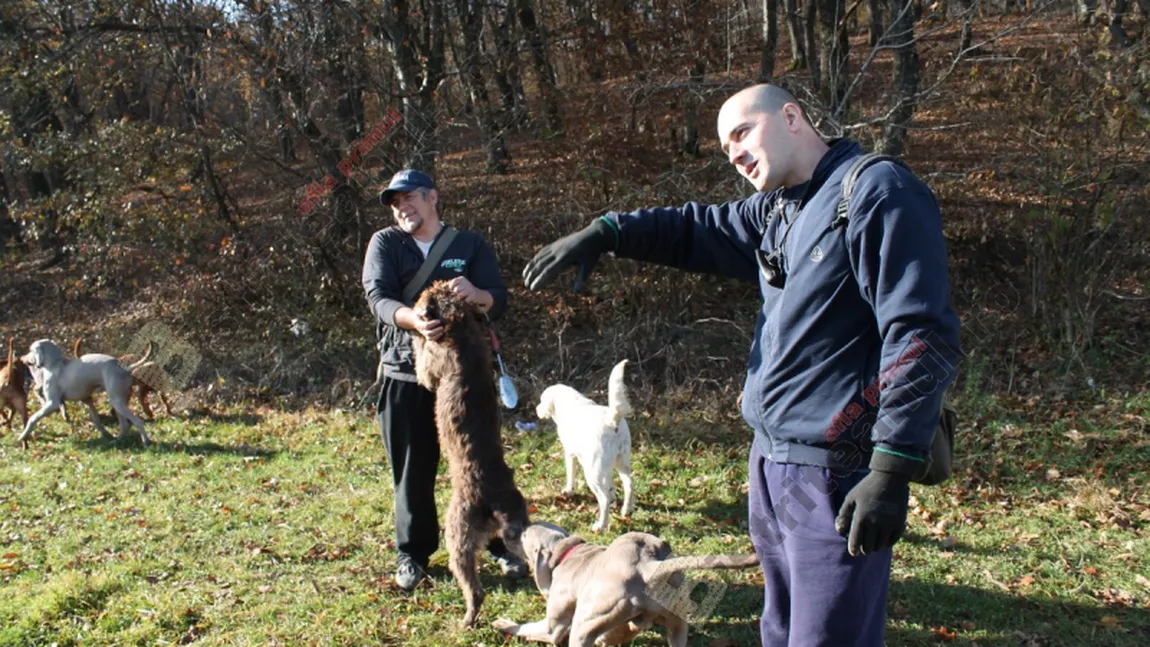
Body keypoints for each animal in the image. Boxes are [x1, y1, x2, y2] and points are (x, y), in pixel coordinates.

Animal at [411, 281, 531, 629]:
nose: (416, 304)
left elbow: (421, 356)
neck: (461, 329)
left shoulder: (429, 370)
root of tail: (493, 501)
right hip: (518, 528)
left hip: (457, 536)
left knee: (474, 589)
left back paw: (466, 619)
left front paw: (418, 333)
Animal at [492, 524, 754, 643]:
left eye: (524, 536)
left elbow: (528, 628)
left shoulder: (552, 627)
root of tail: (646, 565)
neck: (565, 552)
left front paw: (504, 623)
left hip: (585, 624)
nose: (508, 531)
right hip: (677, 622)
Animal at [533, 356, 634, 533]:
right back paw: (625, 510)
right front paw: (613, 494)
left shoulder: (570, 453)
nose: (537, 409)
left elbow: (570, 475)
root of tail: (612, 419)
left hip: (592, 472)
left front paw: (568, 491)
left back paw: (600, 526)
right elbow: (610, 485)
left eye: (541, 400)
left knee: (603, 499)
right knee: (629, 485)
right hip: (621, 463)